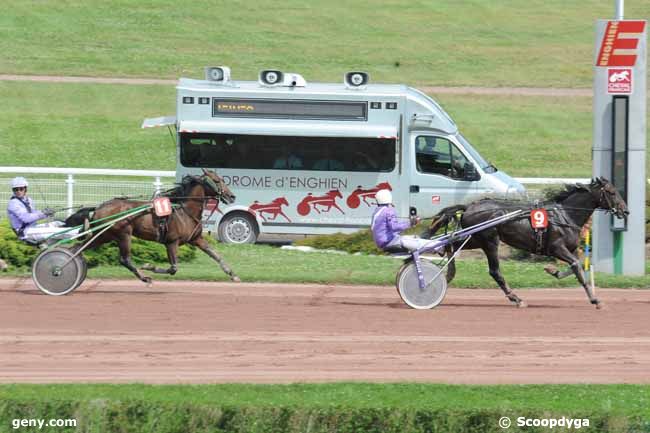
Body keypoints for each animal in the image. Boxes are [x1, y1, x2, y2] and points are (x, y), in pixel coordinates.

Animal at [65, 168, 240, 284]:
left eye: (222, 179)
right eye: (217, 181)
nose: (232, 196)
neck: (184, 211)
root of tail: (99, 207)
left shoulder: (196, 239)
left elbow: (216, 255)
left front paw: (233, 274)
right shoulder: (171, 242)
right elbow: (173, 268)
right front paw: (149, 266)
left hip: (104, 235)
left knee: (77, 248)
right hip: (123, 234)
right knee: (124, 259)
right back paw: (144, 277)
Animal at [428, 177, 624, 308]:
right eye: (612, 192)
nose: (626, 210)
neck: (565, 215)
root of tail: (470, 206)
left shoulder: (570, 249)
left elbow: (578, 266)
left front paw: (553, 270)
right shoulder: (557, 248)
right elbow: (577, 267)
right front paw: (595, 300)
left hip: (475, 238)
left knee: (451, 244)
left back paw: (448, 273)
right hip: (489, 240)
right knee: (494, 271)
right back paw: (516, 298)